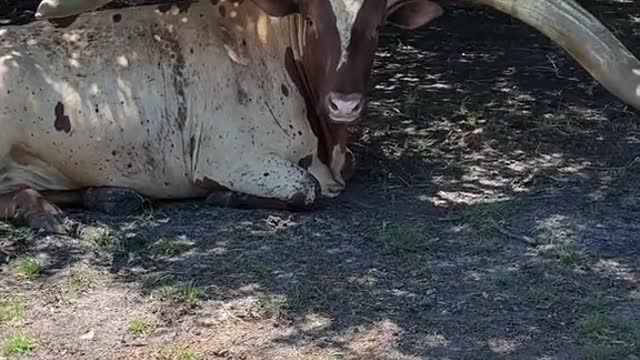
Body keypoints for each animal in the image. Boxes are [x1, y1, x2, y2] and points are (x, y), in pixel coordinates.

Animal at [3, 0, 640, 233]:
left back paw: (102, 198)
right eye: (315, 19)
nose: (345, 104)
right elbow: (304, 190)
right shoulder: (233, 156)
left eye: (379, 23)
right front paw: (224, 199)